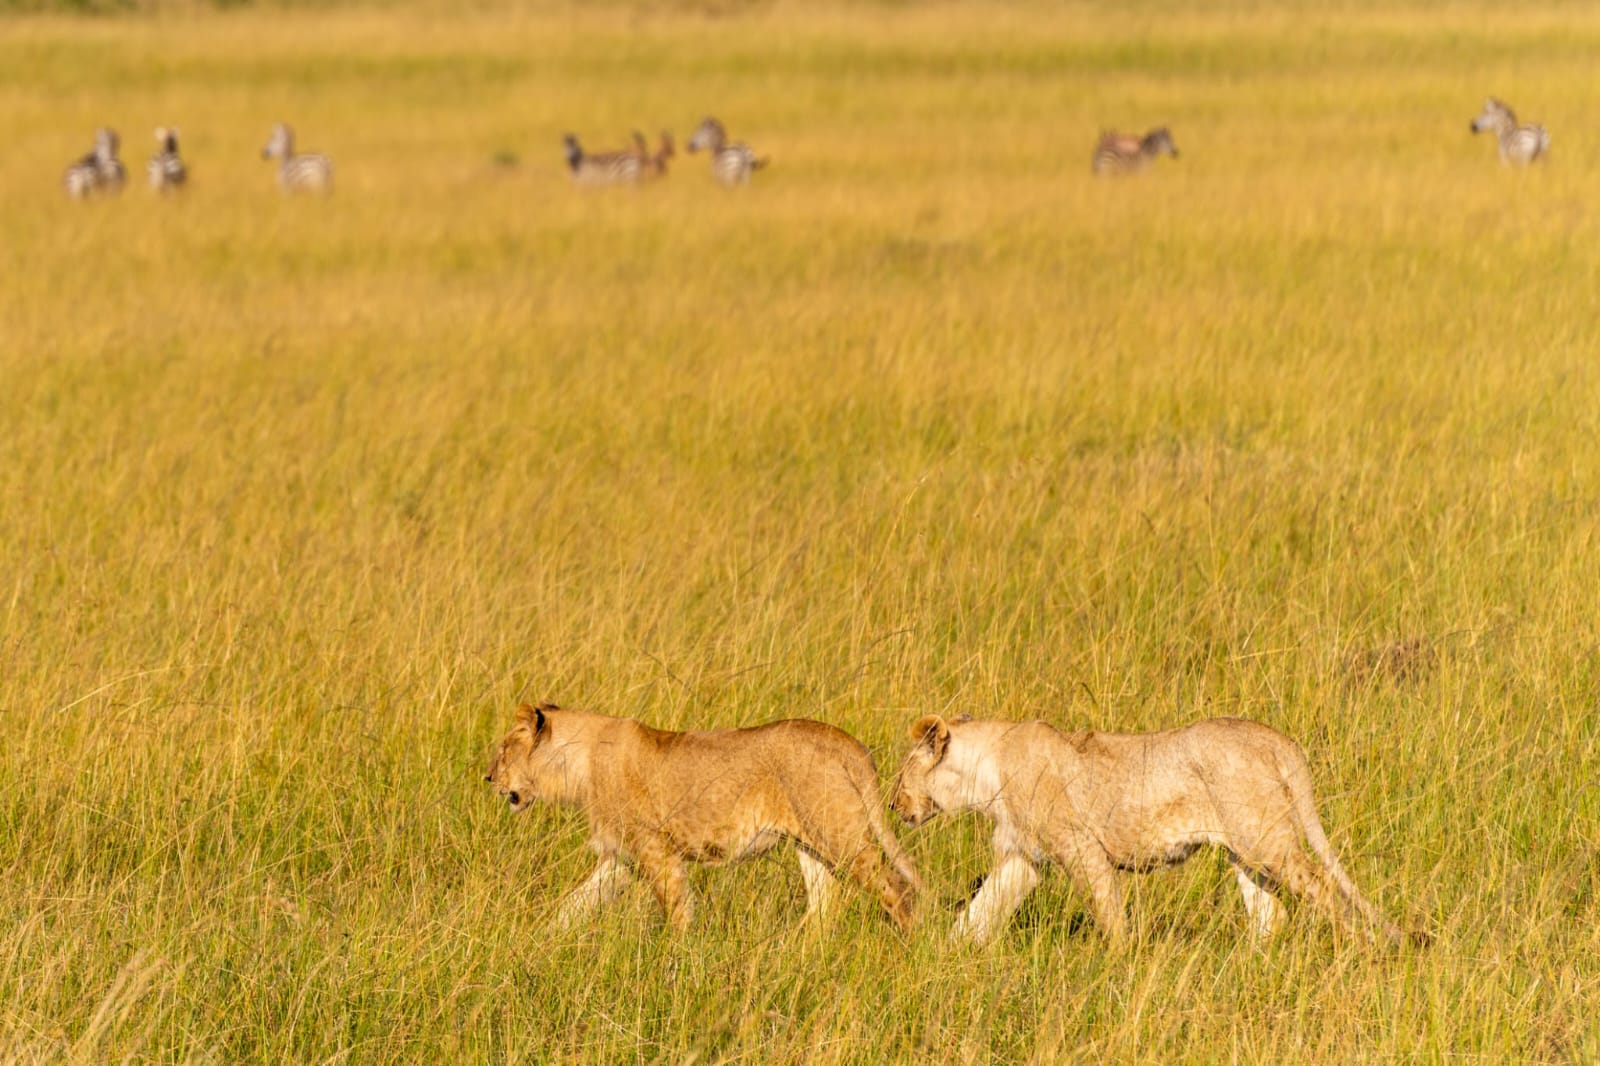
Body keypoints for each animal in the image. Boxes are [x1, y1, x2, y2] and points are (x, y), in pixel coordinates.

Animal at [485, 702, 920, 933]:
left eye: (503, 750)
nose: (487, 778)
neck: (578, 764)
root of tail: (852, 746)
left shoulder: (656, 849)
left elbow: (677, 907)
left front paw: (677, 954)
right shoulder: (620, 857)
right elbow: (574, 904)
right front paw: (541, 939)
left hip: (840, 834)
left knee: (896, 889)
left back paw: (908, 945)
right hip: (810, 842)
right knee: (824, 905)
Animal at [892, 714, 1427, 947]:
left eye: (901, 773)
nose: (895, 805)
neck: (983, 774)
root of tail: (1279, 741)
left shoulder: (1081, 848)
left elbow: (1110, 914)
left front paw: (1122, 962)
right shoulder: (1024, 858)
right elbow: (979, 912)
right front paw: (943, 955)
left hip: (1266, 841)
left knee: (1321, 885)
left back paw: (1356, 947)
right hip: (1245, 851)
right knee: (1270, 915)